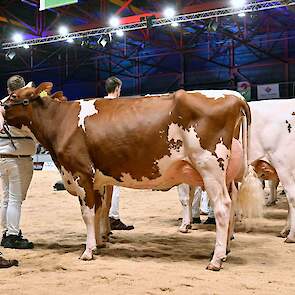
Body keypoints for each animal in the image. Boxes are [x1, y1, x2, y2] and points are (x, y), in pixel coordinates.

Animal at [0, 82, 264, 270]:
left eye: (15, 97)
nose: (1, 107)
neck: (61, 121)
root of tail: (234, 96)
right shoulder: (99, 179)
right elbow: (100, 210)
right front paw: (100, 243)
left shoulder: (81, 173)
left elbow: (88, 214)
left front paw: (88, 251)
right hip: (224, 173)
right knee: (230, 205)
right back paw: (224, 251)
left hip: (209, 166)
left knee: (222, 207)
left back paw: (216, 260)